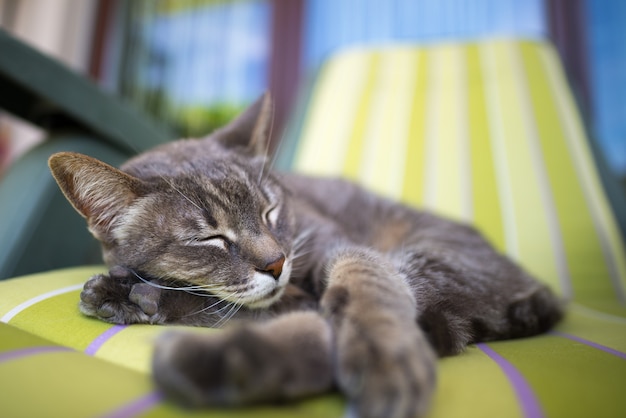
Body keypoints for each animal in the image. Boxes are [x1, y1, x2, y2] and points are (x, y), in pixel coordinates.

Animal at [46, 94, 560, 418]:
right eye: (211, 238)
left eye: (270, 211)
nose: (276, 263)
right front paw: (131, 289)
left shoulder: (343, 246)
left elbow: (363, 284)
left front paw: (384, 352)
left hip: (436, 260)